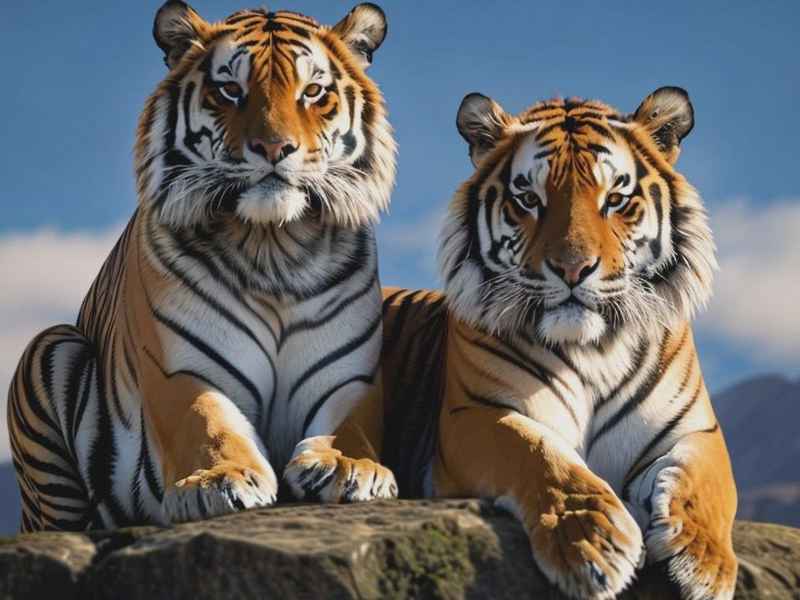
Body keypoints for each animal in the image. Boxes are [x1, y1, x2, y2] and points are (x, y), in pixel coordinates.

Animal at [7, 1, 399, 532]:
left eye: (314, 92)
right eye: (230, 90)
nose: (274, 149)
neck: (274, 246)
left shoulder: (351, 377)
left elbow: (350, 424)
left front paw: (350, 466)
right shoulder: (186, 367)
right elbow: (210, 422)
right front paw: (220, 479)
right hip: (50, 348)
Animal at [362, 88, 738, 599]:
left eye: (615, 199)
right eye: (528, 199)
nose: (573, 268)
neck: (595, 349)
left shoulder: (697, 431)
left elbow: (706, 485)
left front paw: (704, 563)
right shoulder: (475, 412)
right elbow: (541, 455)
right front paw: (593, 543)